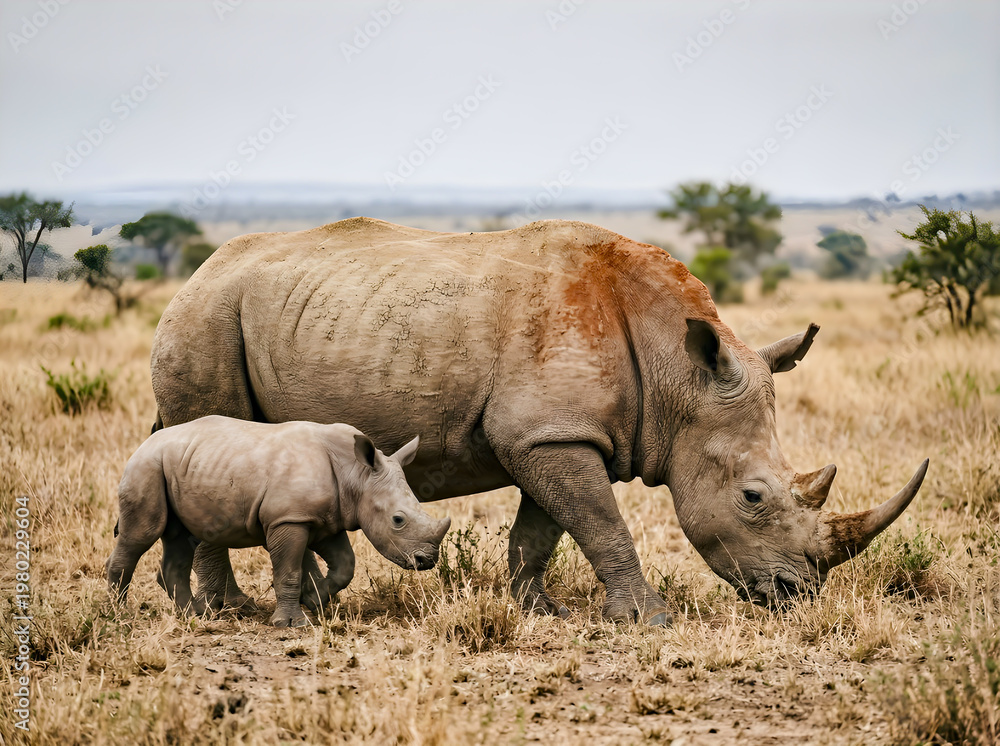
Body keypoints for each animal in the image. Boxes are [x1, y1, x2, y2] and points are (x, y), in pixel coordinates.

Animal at [106, 415, 451, 626]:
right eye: (398, 520)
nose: (427, 560)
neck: (357, 473)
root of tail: (143, 443)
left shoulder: (325, 519)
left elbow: (345, 565)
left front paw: (314, 600)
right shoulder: (289, 520)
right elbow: (288, 571)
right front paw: (291, 623)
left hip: (177, 466)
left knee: (180, 538)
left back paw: (196, 616)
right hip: (146, 466)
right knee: (142, 534)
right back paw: (117, 614)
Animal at [149, 217, 928, 624]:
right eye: (754, 497)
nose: (800, 595)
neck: (679, 373)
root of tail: (197, 272)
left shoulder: (552, 433)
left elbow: (542, 531)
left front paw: (539, 610)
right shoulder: (550, 434)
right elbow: (602, 523)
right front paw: (647, 620)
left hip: (245, 311)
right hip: (206, 317)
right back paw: (226, 613)